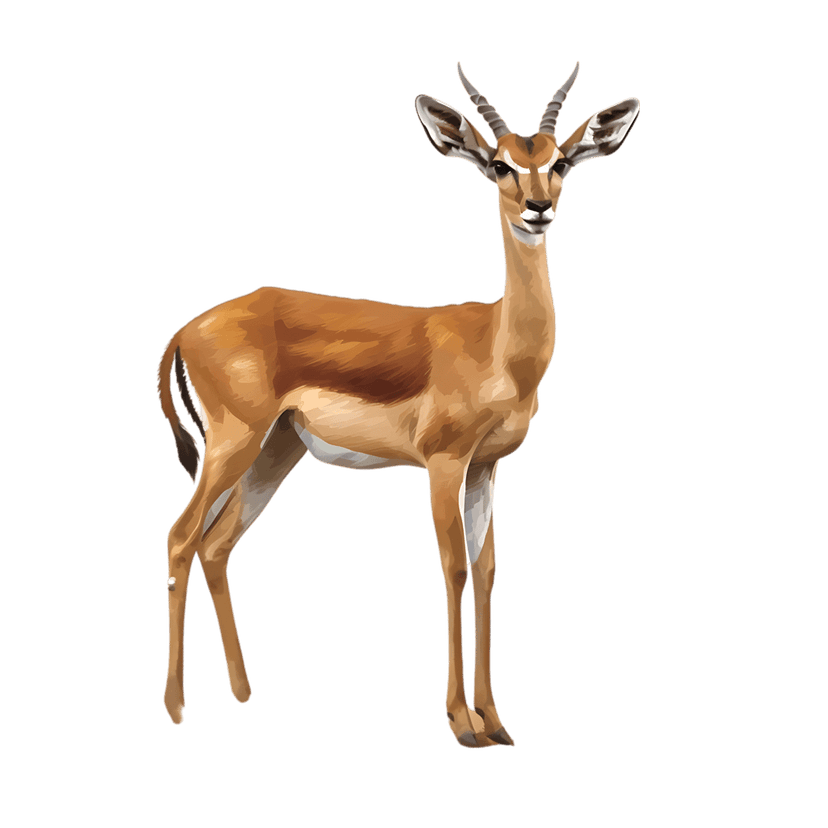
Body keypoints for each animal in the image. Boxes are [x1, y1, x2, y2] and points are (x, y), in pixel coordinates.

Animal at [157, 61, 640, 748]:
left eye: (561, 161)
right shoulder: (443, 463)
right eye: (499, 165)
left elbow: (488, 571)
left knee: (216, 546)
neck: (497, 345)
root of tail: (186, 329)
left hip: (275, 452)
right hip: (231, 446)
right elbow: (454, 567)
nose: (538, 208)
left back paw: (245, 697)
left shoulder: (487, 468)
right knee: (179, 538)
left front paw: (496, 722)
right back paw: (175, 707)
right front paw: (461, 723)